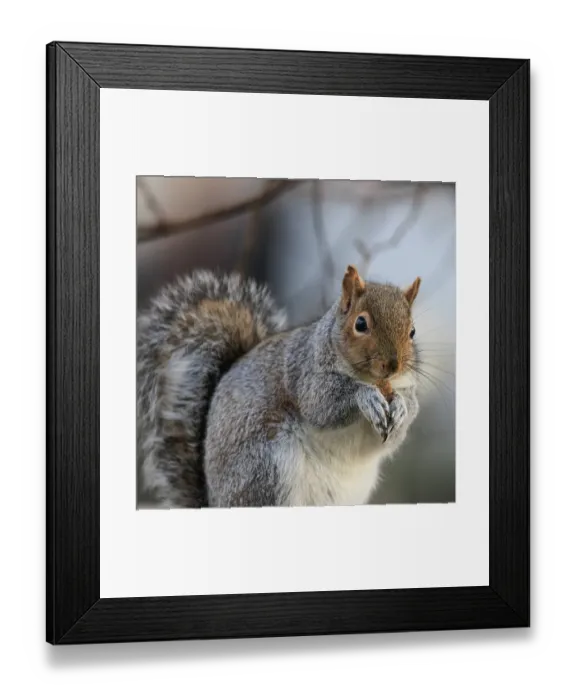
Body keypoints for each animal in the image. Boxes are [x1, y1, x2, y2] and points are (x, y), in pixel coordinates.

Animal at [137, 265, 422, 508]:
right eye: (360, 324)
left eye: (412, 332)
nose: (393, 365)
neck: (372, 379)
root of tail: (215, 503)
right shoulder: (305, 373)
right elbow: (321, 406)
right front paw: (366, 397)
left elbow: (392, 437)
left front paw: (402, 407)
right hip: (266, 466)